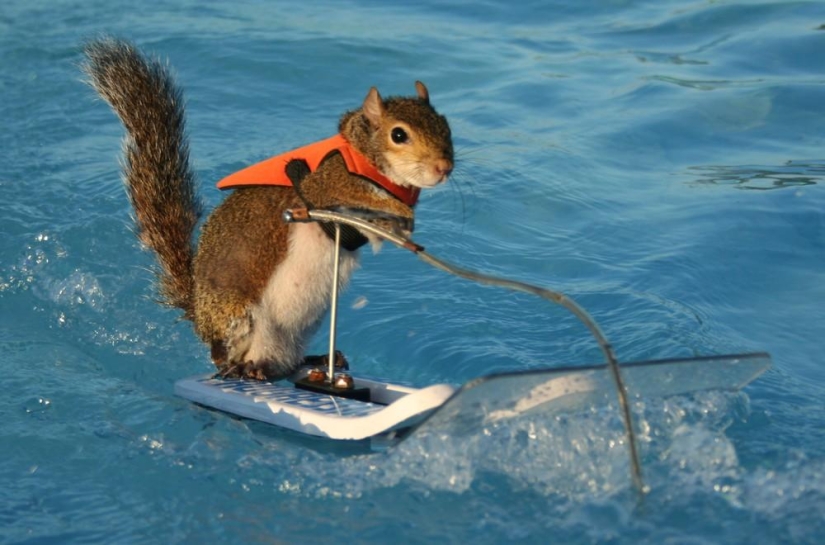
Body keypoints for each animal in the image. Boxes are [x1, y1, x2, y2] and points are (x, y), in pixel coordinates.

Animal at [82, 38, 453, 380]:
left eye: (445, 125)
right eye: (399, 135)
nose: (444, 168)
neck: (362, 154)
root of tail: (199, 313)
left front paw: (403, 225)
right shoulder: (324, 183)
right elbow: (355, 194)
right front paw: (400, 209)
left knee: (285, 366)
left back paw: (316, 361)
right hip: (236, 316)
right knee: (222, 355)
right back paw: (238, 368)